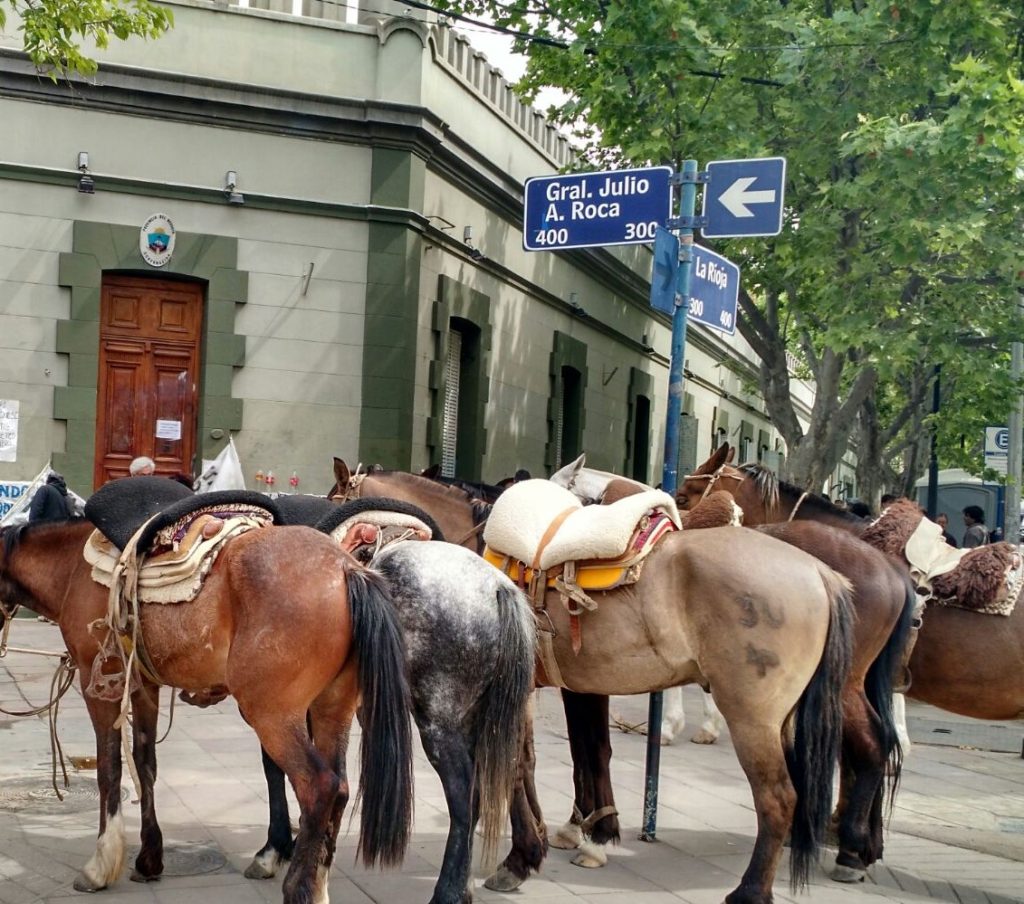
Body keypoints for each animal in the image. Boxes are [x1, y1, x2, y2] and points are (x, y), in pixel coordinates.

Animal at [1, 515, 415, 904]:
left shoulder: (100, 682)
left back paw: (298, 888)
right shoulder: (144, 685)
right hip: (333, 708)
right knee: (341, 788)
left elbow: (109, 769)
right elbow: (145, 765)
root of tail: (347, 569)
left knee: (318, 786)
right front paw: (149, 859)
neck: (71, 567)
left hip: (273, 715)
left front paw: (101, 865)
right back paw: (317, 885)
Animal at [331, 462, 851, 900]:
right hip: (783, 718)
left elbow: (519, 764)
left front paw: (525, 855)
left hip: (751, 718)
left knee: (778, 798)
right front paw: (539, 847)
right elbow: (532, 761)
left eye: (338, 495)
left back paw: (751, 891)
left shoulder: (516, 693)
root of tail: (820, 573)